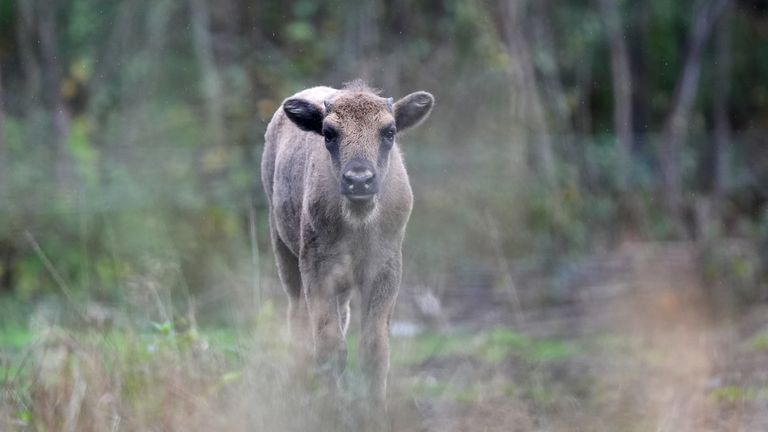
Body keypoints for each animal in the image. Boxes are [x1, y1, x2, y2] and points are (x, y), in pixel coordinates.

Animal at [262, 80, 432, 402]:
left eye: (389, 131)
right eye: (329, 133)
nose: (359, 180)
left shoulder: (384, 271)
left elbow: (374, 349)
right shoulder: (317, 271)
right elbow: (330, 348)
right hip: (284, 255)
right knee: (298, 322)